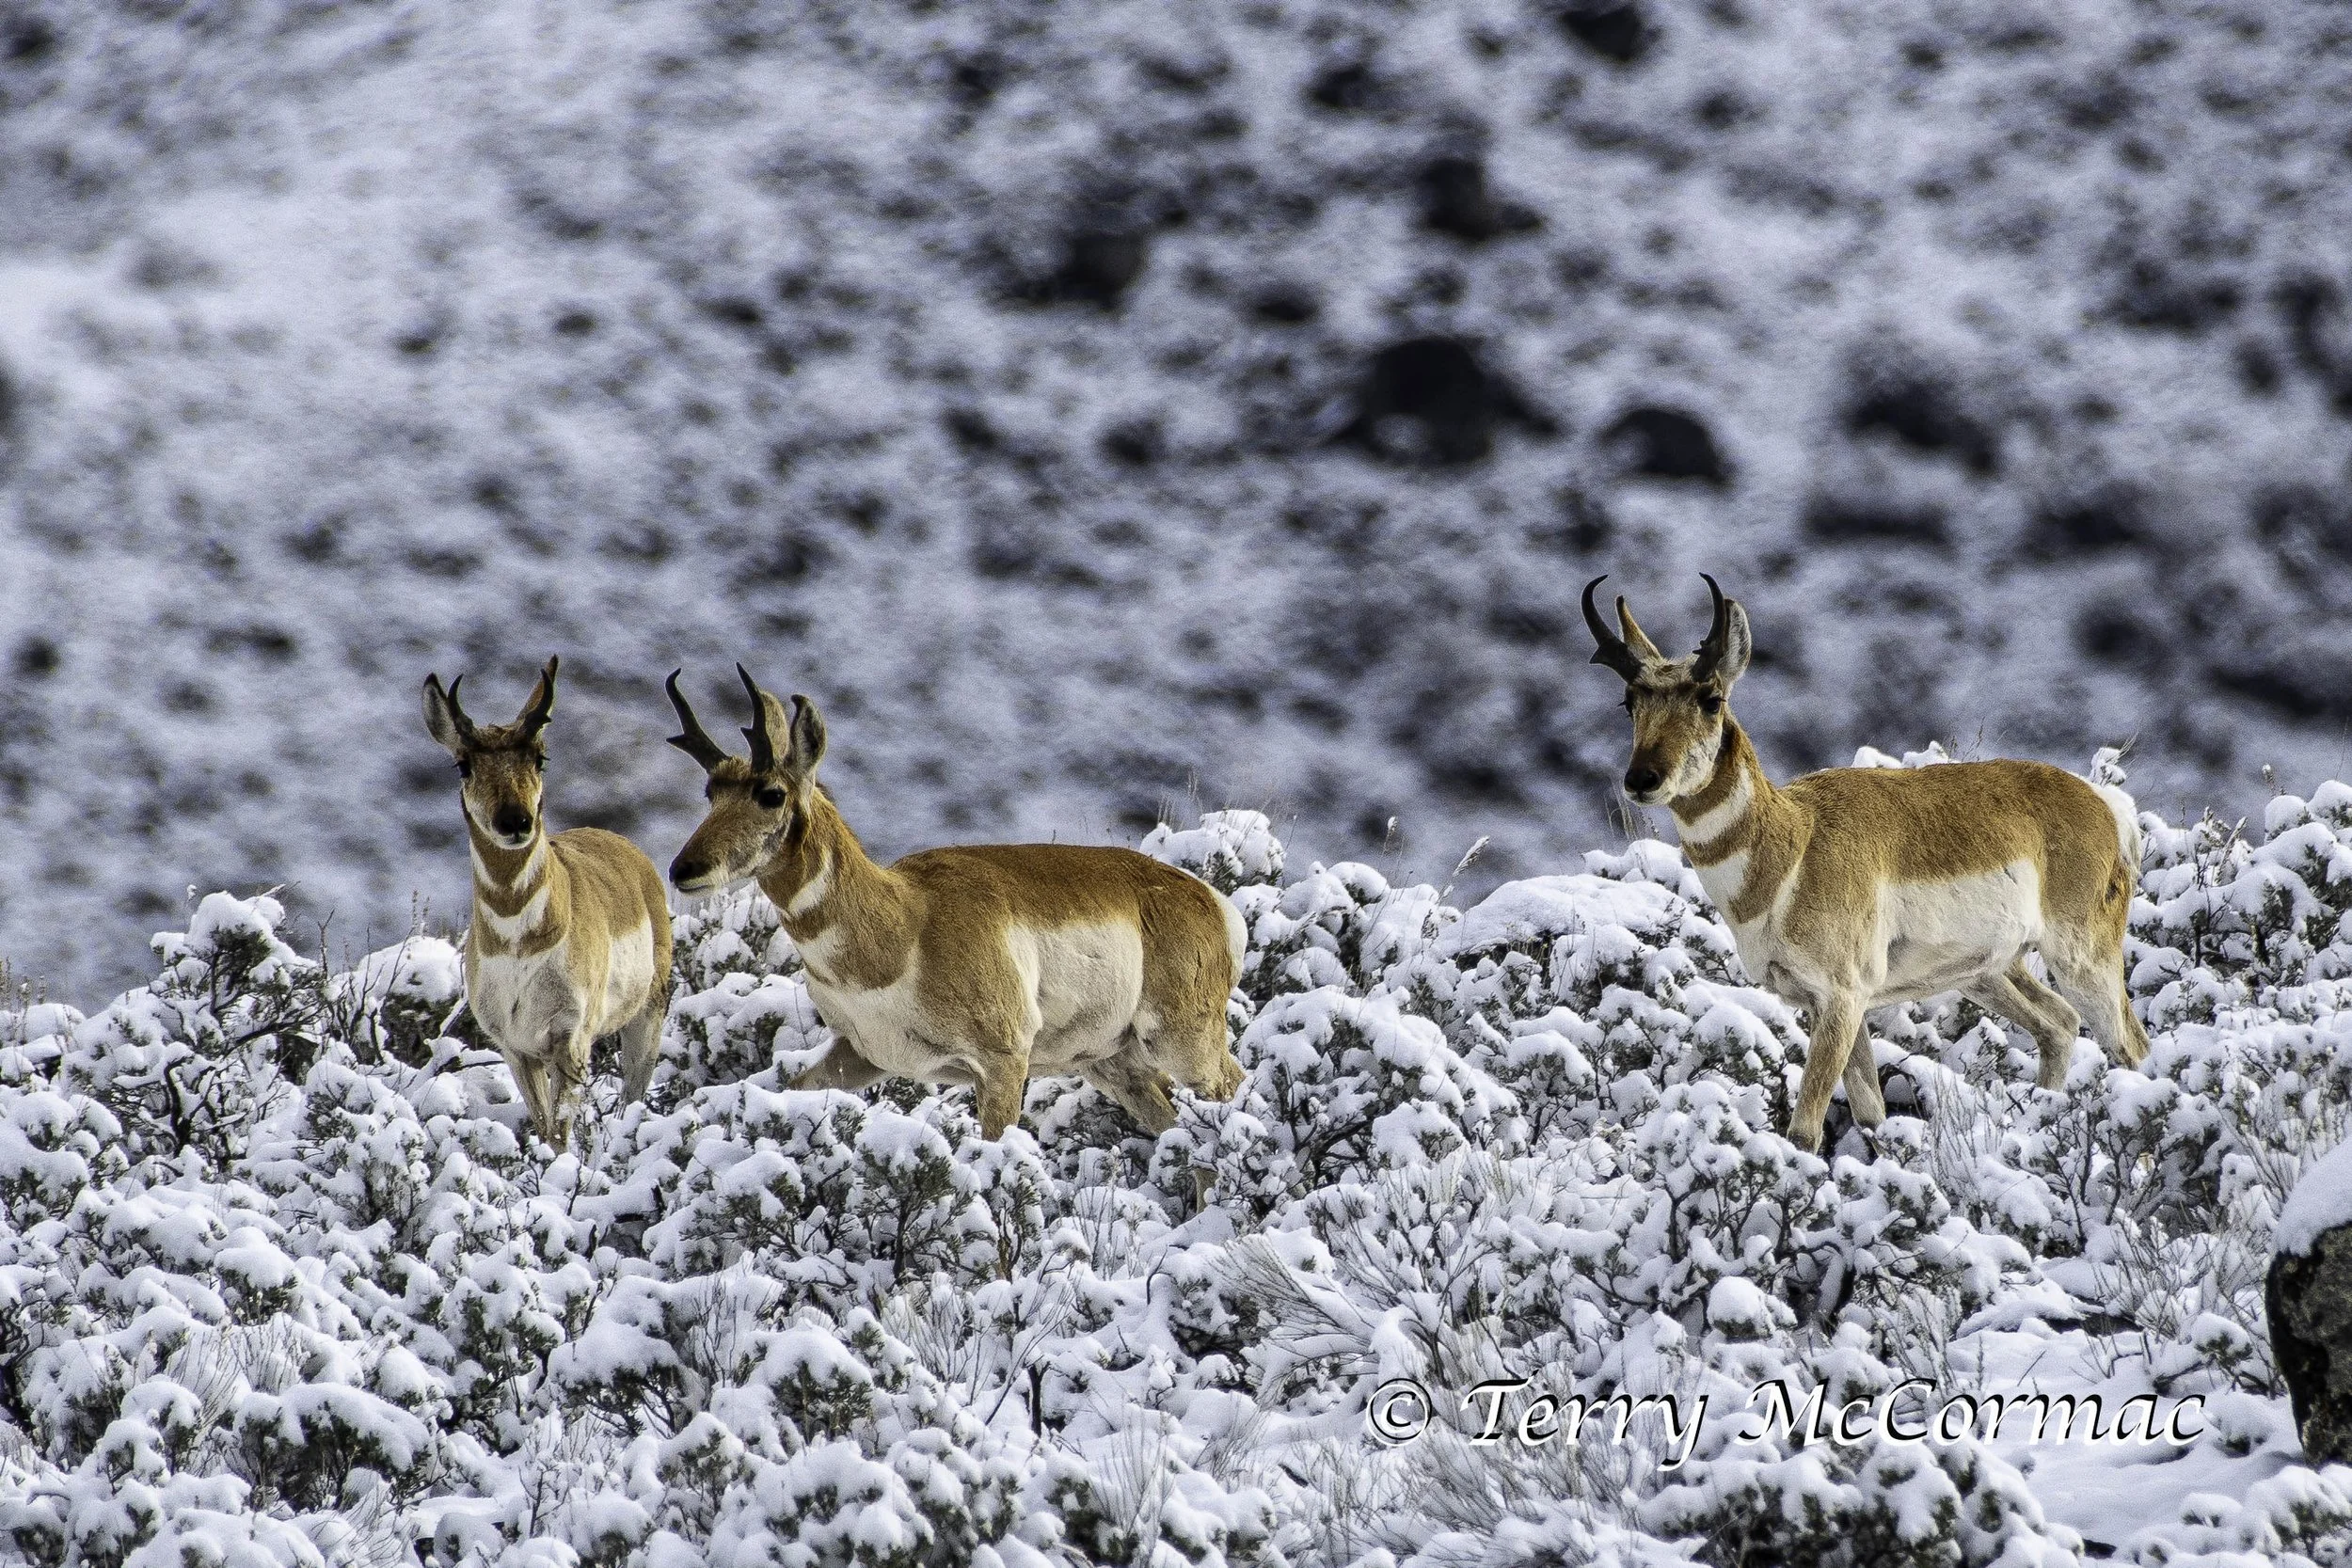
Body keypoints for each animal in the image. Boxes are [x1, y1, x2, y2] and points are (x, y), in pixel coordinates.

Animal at [421, 657, 674, 1151]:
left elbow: (560, 1129)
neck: (518, 941)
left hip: (647, 1016)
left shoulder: (569, 1041)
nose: (515, 821)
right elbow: (543, 1126)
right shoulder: (516, 1050)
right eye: (464, 765)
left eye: (540, 758)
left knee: (633, 1093)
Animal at [661, 666, 1247, 1141]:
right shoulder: (860, 1057)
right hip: (1116, 1064)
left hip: (1183, 1043)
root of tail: (1208, 901)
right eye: (711, 793)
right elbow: (791, 1091)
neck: (906, 922)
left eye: (771, 795)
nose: (682, 870)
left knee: (1233, 1090)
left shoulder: (1004, 1061)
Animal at [1583, 576, 2150, 1152]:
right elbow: (1872, 1115)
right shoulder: (1827, 1003)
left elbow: (1805, 1129)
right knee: (2059, 1024)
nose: (1642, 779)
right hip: (1990, 972)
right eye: (1629, 702)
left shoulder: (1842, 997)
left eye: (1711, 699)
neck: (1796, 843)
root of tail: (2101, 803)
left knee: (2131, 1047)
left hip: (2082, 958)